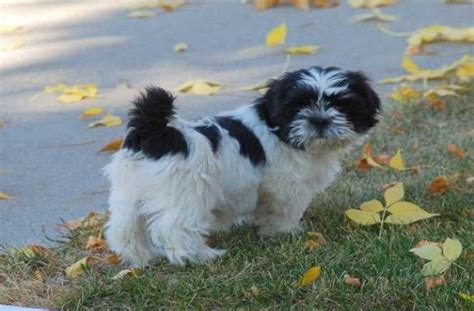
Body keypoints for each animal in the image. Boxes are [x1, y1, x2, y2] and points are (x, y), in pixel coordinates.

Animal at [104, 66, 382, 266]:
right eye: (298, 106)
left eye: (340, 104)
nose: (320, 120)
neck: (279, 130)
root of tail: (155, 131)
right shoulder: (286, 184)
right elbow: (284, 209)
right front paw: (285, 231)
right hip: (184, 192)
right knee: (174, 227)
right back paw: (198, 256)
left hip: (129, 190)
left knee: (124, 227)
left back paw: (141, 257)